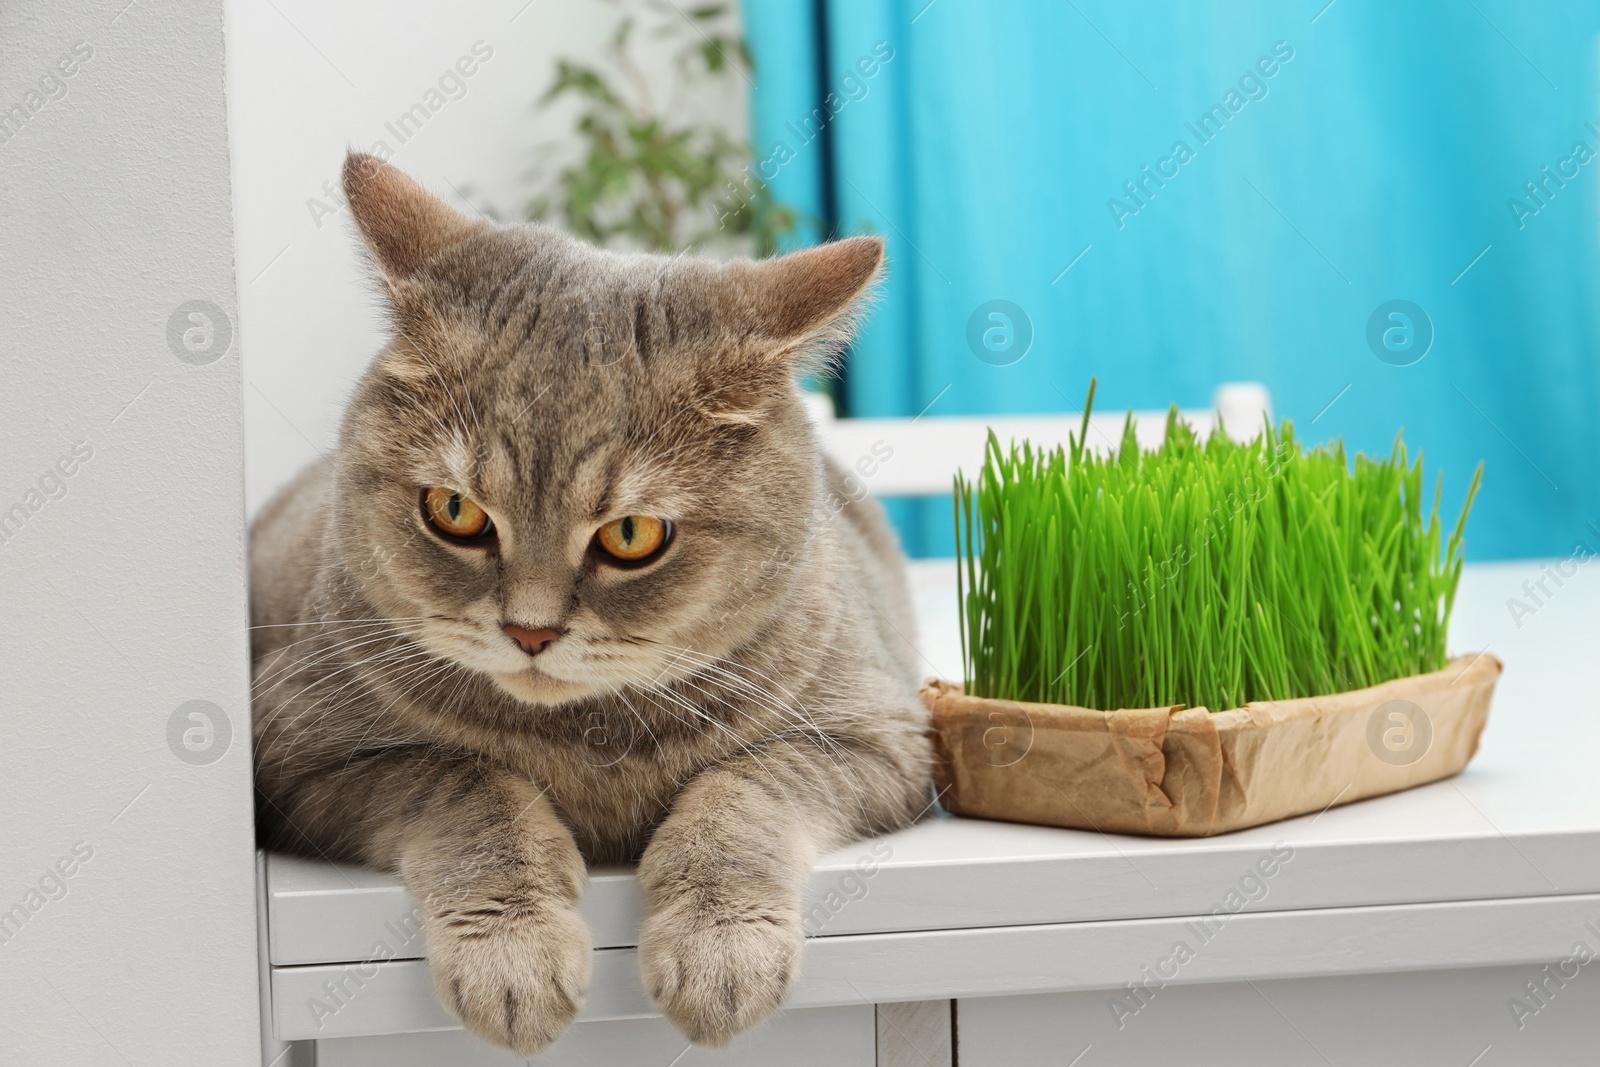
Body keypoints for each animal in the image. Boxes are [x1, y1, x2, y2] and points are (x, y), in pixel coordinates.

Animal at [243, 154, 934, 1055]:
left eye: (632, 534)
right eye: (454, 510)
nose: (529, 629)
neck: (589, 746)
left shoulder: (878, 737)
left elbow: (744, 788)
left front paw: (720, 946)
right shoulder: (302, 751)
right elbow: (469, 782)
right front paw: (513, 952)